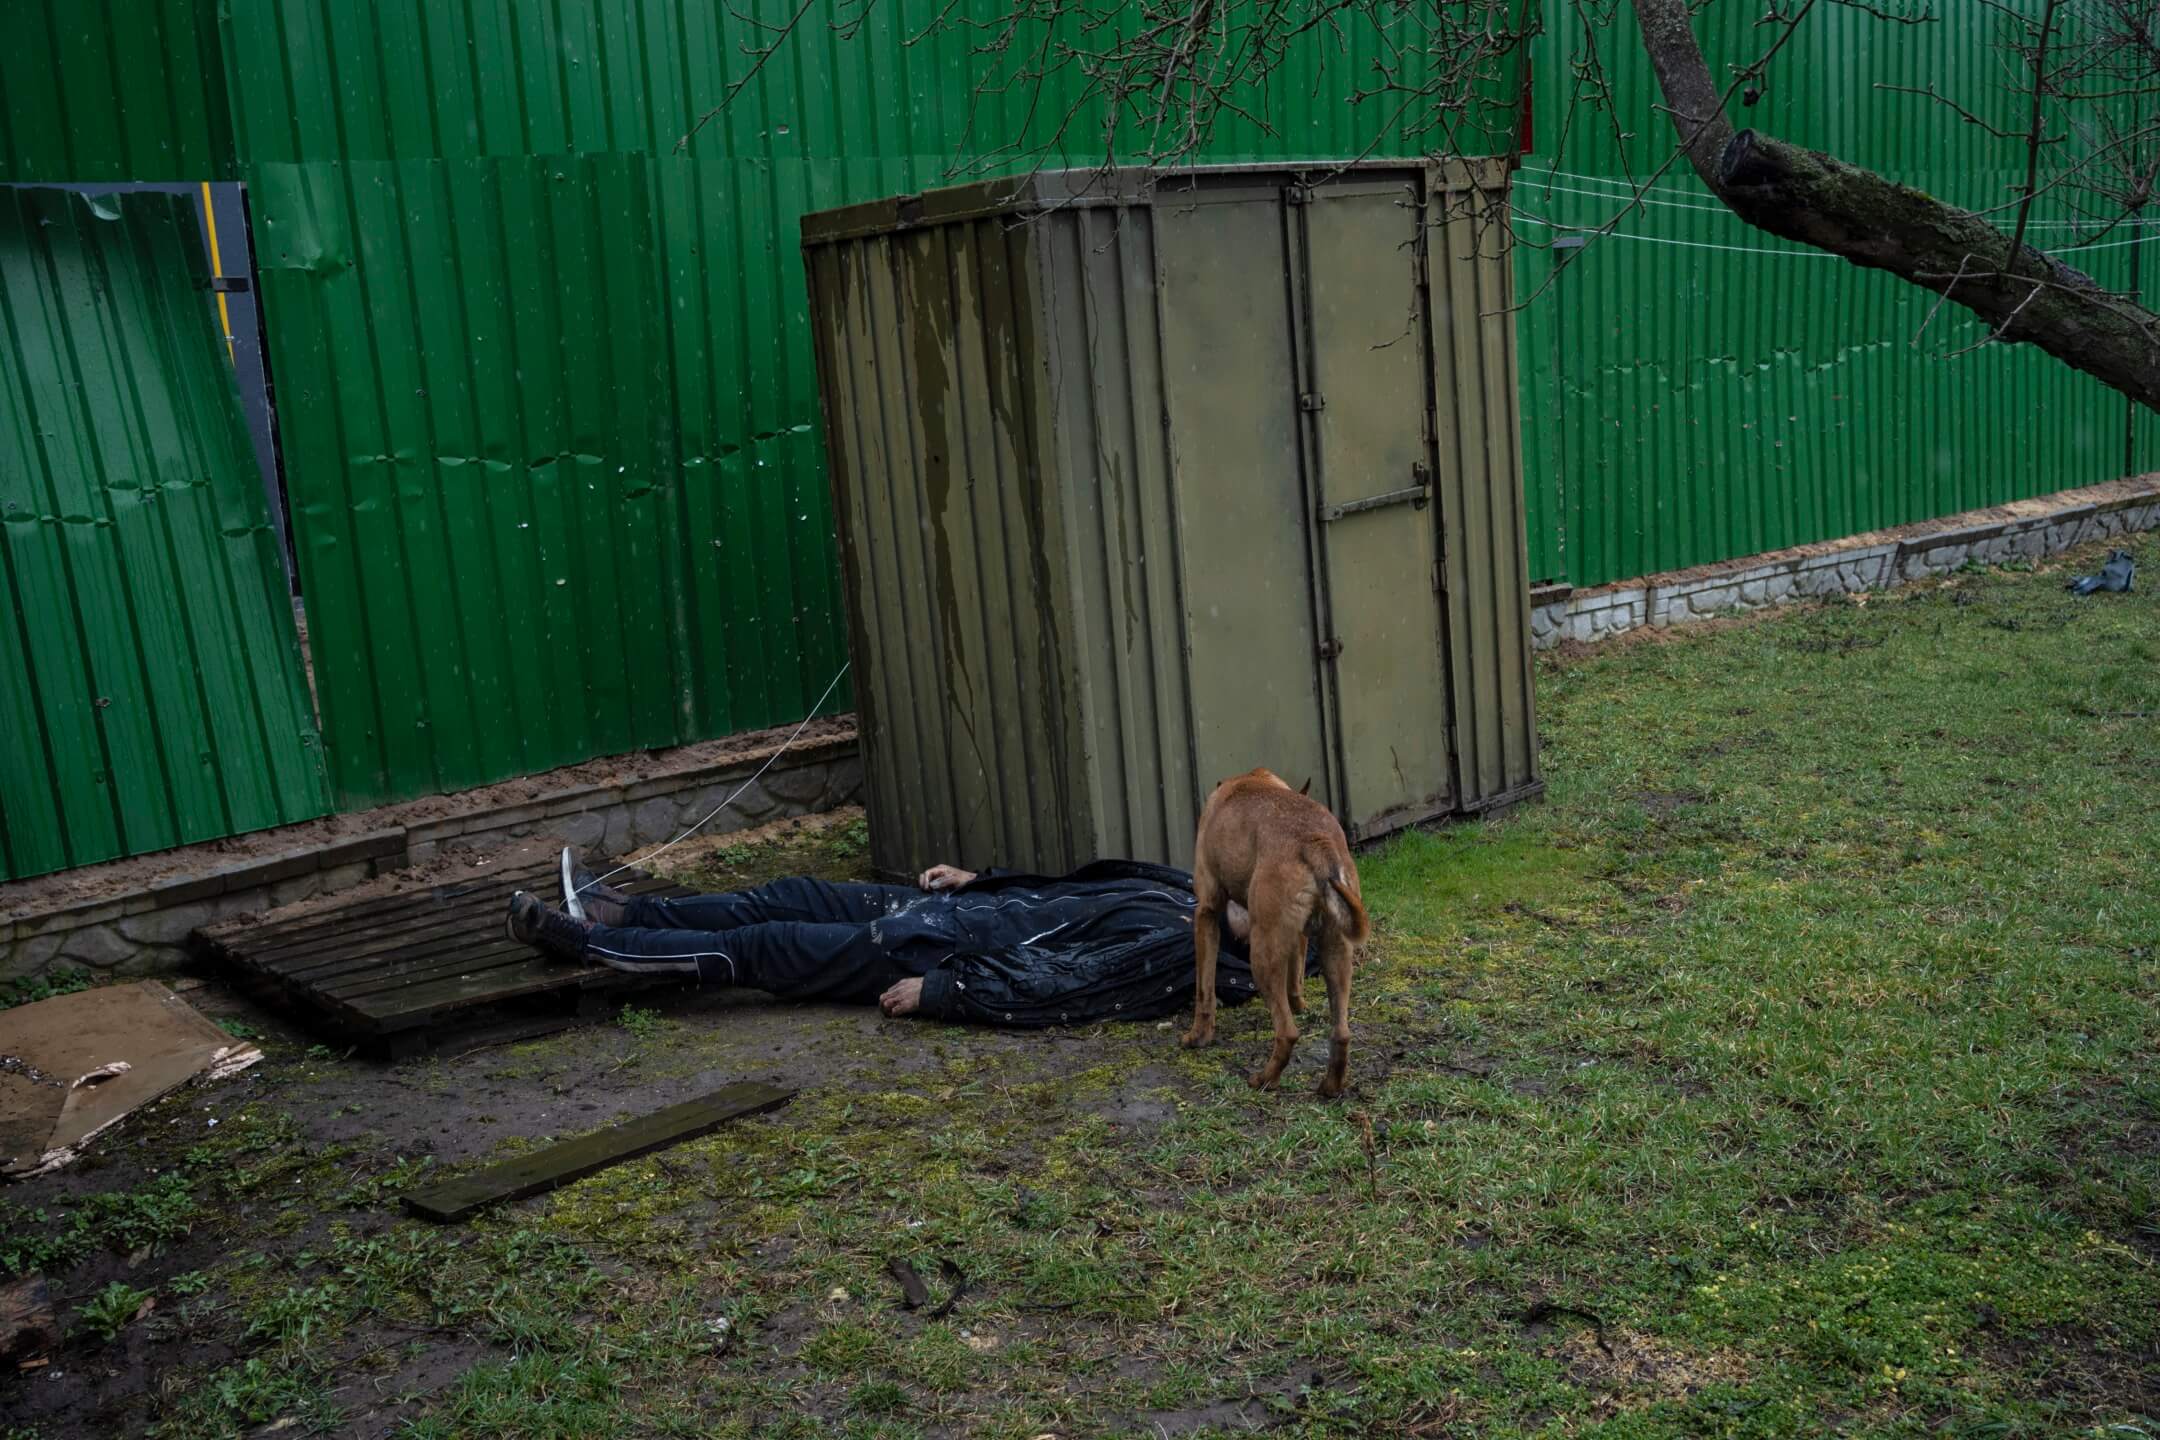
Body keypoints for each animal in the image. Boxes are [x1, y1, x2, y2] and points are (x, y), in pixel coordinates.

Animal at [1183, 772, 1365, 1096]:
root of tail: (1315, 841)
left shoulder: (1206, 912)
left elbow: (1204, 988)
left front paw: (1198, 1036)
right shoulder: (1299, 934)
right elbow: (1296, 977)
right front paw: (1299, 1004)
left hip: (1261, 954)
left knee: (1288, 1032)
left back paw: (1264, 1079)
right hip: (1337, 949)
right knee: (1341, 1032)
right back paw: (1330, 1085)